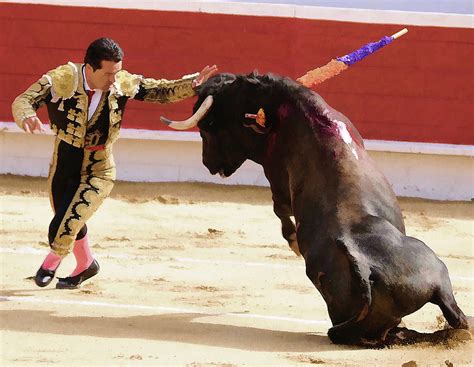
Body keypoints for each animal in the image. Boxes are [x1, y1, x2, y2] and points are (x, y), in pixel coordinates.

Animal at [168, 73, 470, 346]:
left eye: (209, 127)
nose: (209, 164)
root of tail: (365, 268)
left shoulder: (278, 181)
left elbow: (280, 211)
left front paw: (293, 241)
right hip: (438, 278)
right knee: (455, 320)